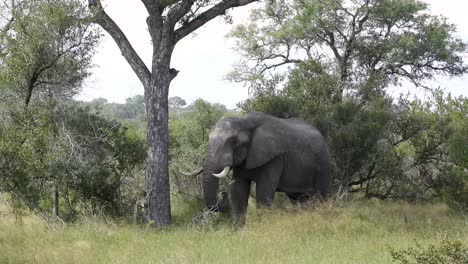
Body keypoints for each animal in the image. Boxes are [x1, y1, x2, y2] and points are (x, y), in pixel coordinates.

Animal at [188, 111, 330, 225]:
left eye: (234, 141)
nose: (223, 193)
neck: (246, 121)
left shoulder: (275, 157)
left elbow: (263, 192)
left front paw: (262, 228)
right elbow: (239, 190)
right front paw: (239, 232)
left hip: (323, 164)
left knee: (319, 196)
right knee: (297, 199)